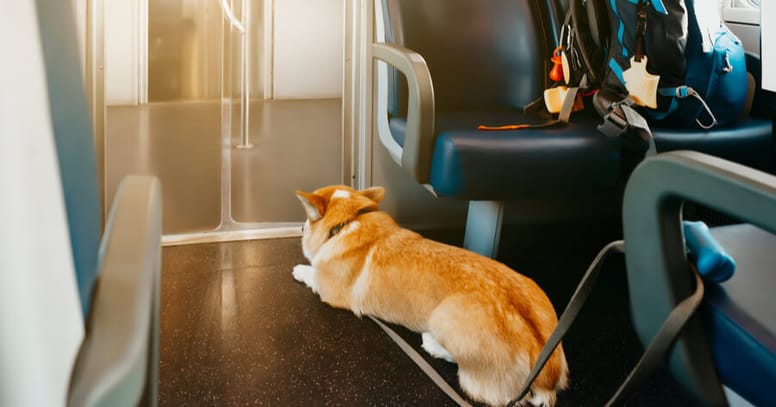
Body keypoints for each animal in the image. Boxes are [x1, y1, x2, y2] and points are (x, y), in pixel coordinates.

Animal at [294, 186, 568, 407]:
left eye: (308, 217)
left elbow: (312, 272)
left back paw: (431, 343)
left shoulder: (329, 288)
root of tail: (547, 372)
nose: (300, 226)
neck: (349, 221)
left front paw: (299, 269)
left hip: (442, 317)